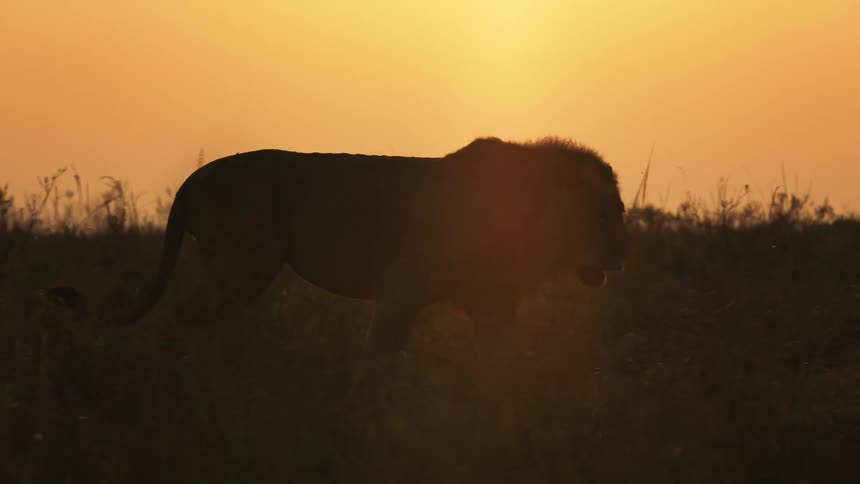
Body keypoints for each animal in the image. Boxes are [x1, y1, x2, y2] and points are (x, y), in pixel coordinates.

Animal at [125, 136, 628, 359]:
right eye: (603, 215)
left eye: (620, 210)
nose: (623, 253)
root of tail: (195, 178)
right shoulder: (401, 289)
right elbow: (380, 359)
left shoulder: (494, 306)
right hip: (246, 263)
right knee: (184, 314)